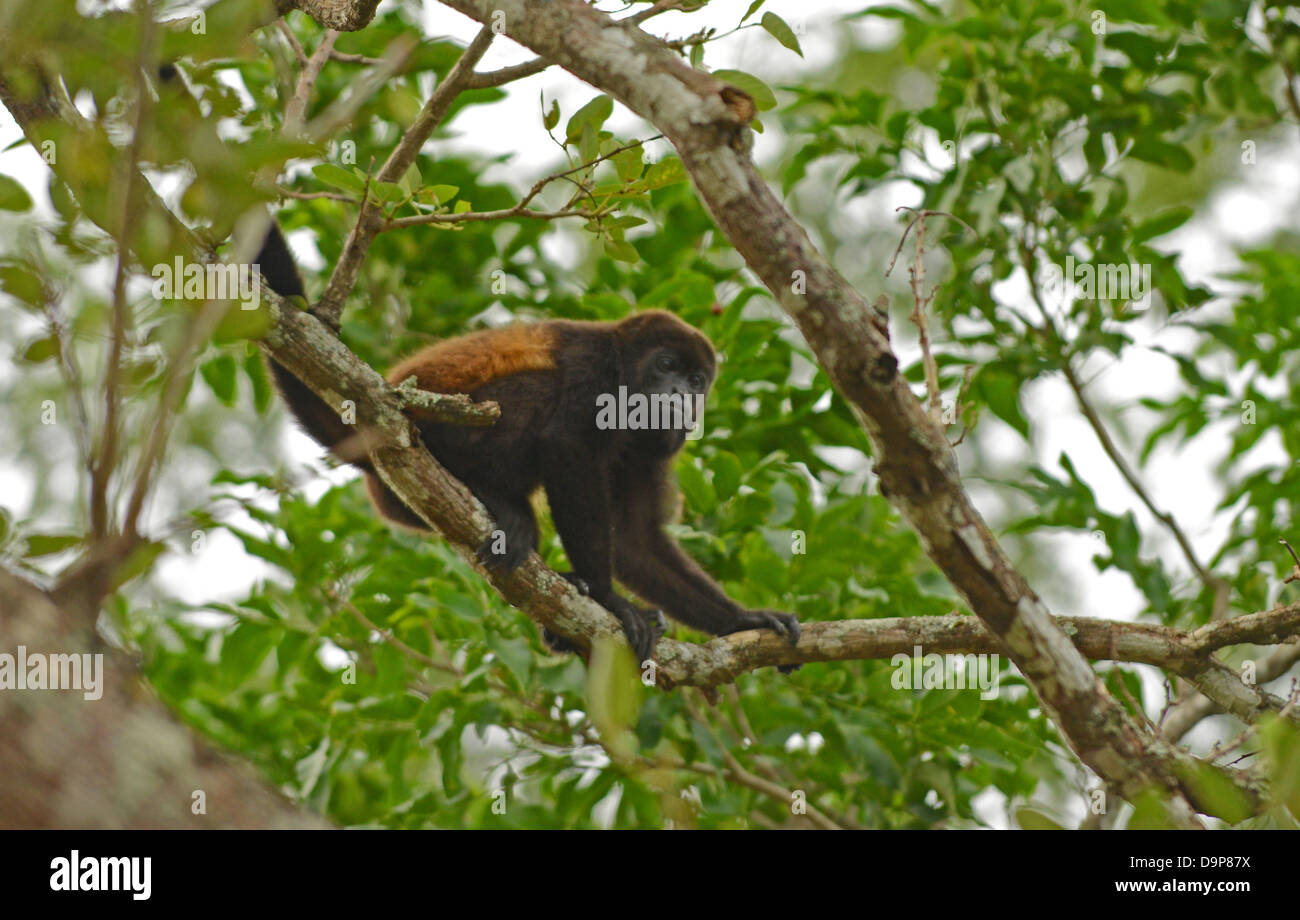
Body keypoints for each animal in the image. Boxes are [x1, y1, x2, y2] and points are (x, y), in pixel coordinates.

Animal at [255, 223, 800, 666]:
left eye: (697, 379)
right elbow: (567, 447)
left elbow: (634, 537)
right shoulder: (593, 371)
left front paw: (744, 620)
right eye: (666, 365)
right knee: (537, 392)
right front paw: (611, 602)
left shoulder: (655, 448)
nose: (682, 395)